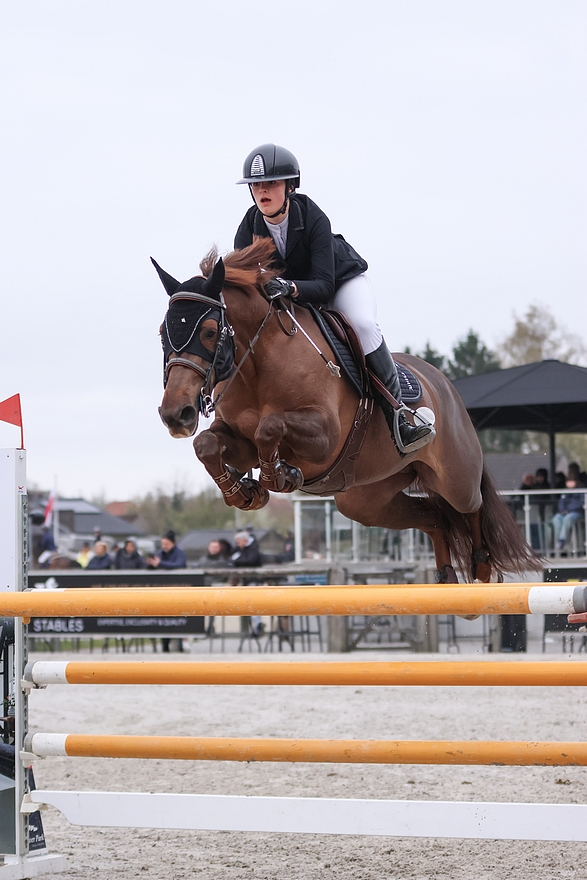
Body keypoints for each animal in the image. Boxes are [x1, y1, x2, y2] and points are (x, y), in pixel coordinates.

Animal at [154, 237, 538, 583]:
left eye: (208, 331)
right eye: (162, 333)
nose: (176, 414)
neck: (255, 367)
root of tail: (443, 383)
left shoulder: (325, 436)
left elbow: (271, 426)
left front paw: (277, 476)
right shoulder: (239, 439)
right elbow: (206, 444)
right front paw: (243, 491)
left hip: (455, 477)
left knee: (471, 506)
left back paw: (482, 566)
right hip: (365, 500)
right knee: (434, 516)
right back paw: (446, 577)